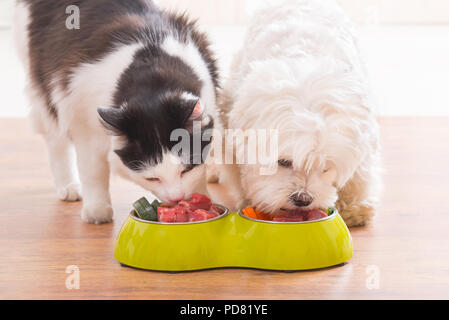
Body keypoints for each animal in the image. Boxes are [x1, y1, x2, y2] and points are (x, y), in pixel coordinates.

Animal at [14, 0, 221, 224]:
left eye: (185, 170)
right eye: (152, 178)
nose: (177, 198)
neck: (152, 78)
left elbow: (200, 173)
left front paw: (203, 199)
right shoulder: (85, 124)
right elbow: (93, 171)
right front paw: (97, 211)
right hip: (46, 91)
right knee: (56, 140)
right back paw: (69, 187)